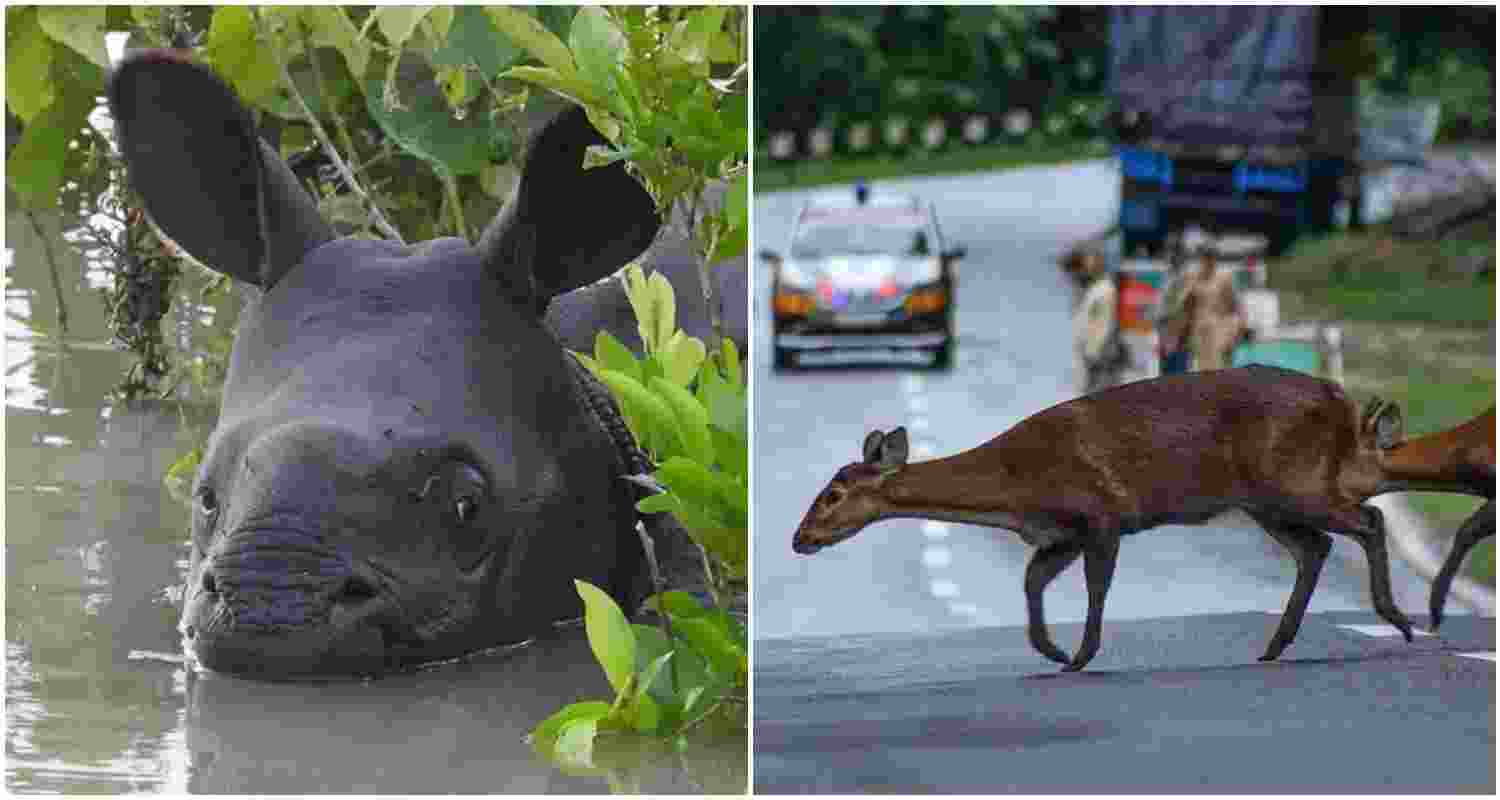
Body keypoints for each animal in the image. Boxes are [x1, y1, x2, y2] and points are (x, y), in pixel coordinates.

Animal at [792, 365, 1416, 671]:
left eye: (833, 493)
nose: (799, 538)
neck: (1013, 486)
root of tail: (1340, 400)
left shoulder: (1100, 512)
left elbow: (1096, 588)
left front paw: (1081, 655)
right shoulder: (1058, 534)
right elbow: (1031, 582)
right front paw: (1053, 651)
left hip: (1290, 480)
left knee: (1366, 520)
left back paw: (1398, 620)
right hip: (1266, 498)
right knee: (1317, 546)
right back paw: (1276, 645)